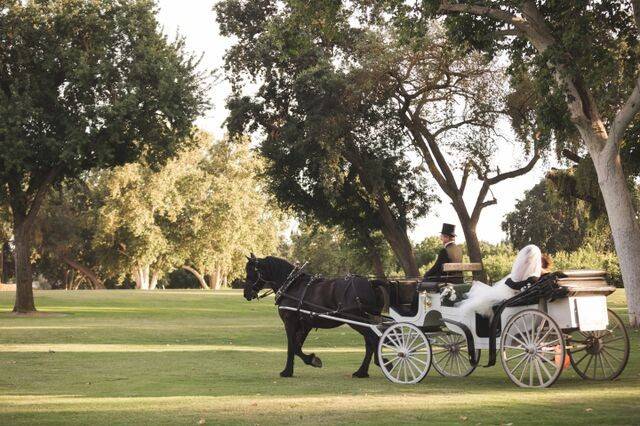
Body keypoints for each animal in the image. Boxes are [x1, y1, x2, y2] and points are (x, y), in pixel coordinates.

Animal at [244, 255, 384, 378]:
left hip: (355, 319)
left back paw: (379, 364)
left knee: (373, 339)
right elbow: (296, 346)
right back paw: (362, 372)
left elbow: (293, 347)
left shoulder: (290, 322)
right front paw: (300, 365)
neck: (291, 286)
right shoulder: (305, 325)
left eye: (250, 272)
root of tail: (370, 283)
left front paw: (297, 367)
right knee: (370, 342)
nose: (246, 294)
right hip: (365, 320)